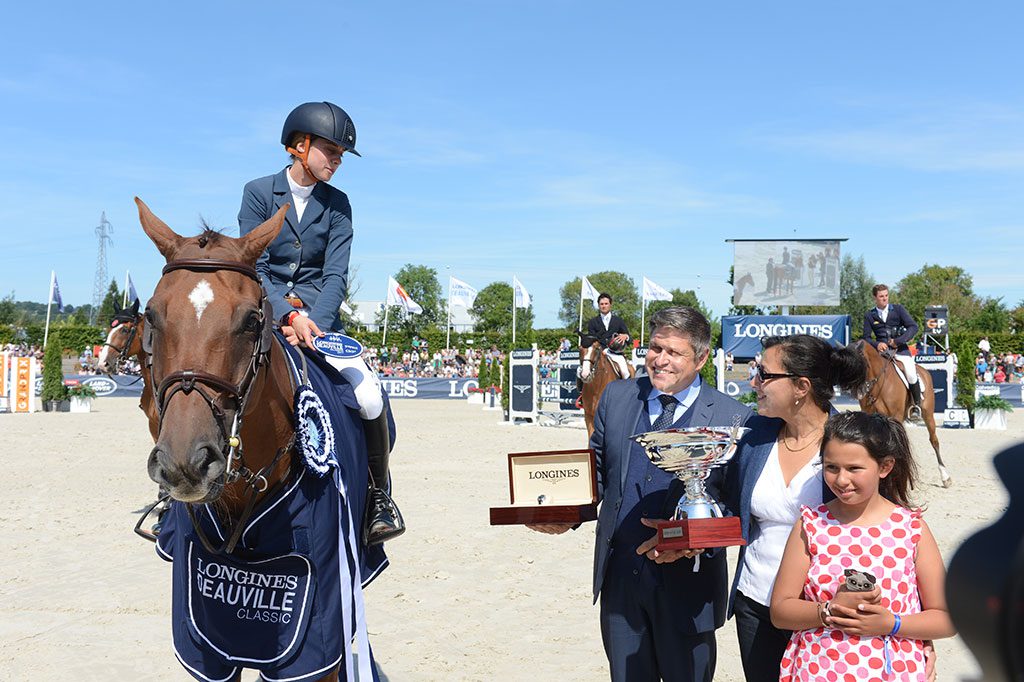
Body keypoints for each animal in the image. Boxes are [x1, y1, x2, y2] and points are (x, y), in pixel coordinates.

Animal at [856, 339, 950, 489]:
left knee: (934, 441)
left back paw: (945, 477)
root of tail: (923, 370)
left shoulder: (895, 416)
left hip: (928, 414)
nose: (859, 392)